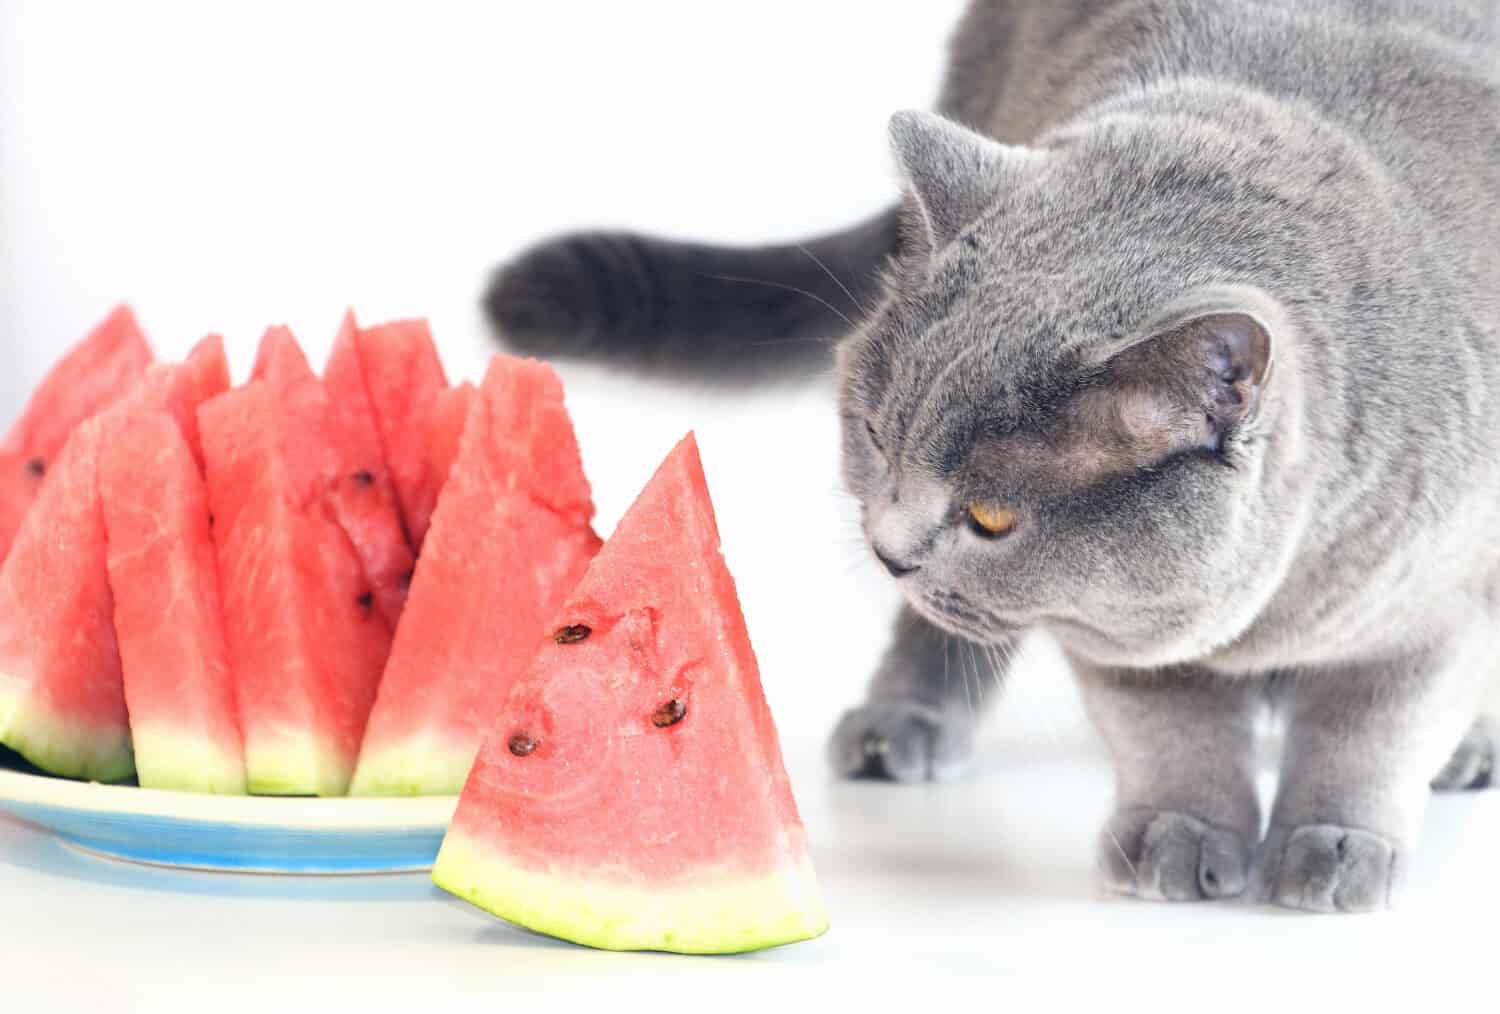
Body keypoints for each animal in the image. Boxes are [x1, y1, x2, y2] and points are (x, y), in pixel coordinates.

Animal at [489, 0, 1500, 912]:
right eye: (874, 437)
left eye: (992, 518)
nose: (890, 550)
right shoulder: (1120, 634)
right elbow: (1170, 722)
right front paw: (1180, 834)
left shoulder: (1439, 602)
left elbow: (1372, 731)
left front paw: (1335, 843)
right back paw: (900, 727)